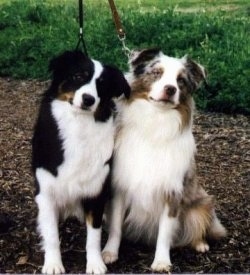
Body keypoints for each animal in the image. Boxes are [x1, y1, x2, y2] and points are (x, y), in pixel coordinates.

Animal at [32, 50, 130, 274]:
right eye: (78, 76)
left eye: (102, 85)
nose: (88, 99)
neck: (78, 126)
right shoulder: (46, 192)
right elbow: (51, 235)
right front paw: (53, 264)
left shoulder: (96, 193)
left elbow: (93, 236)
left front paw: (95, 264)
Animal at [102, 49, 227, 272]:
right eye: (157, 73)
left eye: (181, 80)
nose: (170, 89)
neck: (155, 125)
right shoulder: (120, 188)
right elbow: (116, 227)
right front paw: (109, 253)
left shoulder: (172, 193)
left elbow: (165, 233)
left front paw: (161, 262)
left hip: (201, 204)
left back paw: (200, 244)